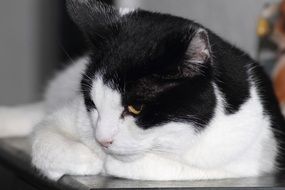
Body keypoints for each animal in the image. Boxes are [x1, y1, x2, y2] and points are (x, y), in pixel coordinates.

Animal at [0, 0, 284, 181]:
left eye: (135, 107)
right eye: (92, 103)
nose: (102, 140)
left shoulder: (247, 160)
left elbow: (163, 167)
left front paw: (107, 163)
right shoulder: (64, 119)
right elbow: (44, 140)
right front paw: (90, 159)